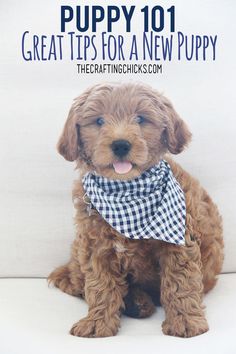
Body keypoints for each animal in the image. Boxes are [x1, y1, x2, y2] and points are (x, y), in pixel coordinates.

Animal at [48, 82, 223, 338]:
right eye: (99, 121)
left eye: (140, 119)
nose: (120, 144)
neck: (126, 194)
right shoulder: (96, 246)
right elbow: (100, 286)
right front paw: (97, 323)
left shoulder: (179, 241)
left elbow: (180, 282)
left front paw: (186, 321)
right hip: (78, 254)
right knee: (77, 283)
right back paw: (136, 303)